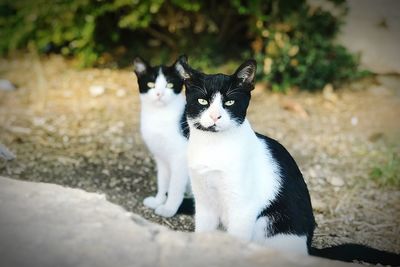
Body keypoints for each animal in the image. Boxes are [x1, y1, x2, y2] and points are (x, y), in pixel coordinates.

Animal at [133, 56, 192, 218]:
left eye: (170, 84)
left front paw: (169, 208)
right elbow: (162, 181)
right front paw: (158, 200)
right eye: (151, 84)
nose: (159, 94)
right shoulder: (161, 158)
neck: (159, 116)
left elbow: (175, 187)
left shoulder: (180, 159)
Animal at [175, 55, 400, 266]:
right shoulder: (204, 202)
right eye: (203, 102)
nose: (215, 117)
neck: (213, 147)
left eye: (229, 102)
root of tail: (308, 248)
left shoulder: (243, 208)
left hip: (267, 224)